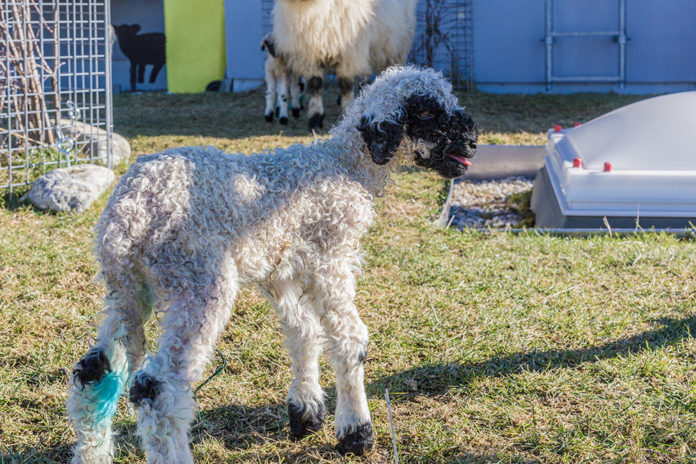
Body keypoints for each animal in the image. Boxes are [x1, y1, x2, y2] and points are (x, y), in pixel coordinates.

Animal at [66, 66, 478, 464]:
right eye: (426, 112)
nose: (473, 142)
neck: (344, 166)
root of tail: (127, 216)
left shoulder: (282, 272)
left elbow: (303, 334)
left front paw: (306, 411)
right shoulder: (331, 260)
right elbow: (348, 341)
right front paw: (356, 433)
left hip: (129, 291)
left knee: (93, 373)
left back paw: (92, 453)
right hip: (199, 281)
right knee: (155, 387)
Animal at [270, 0, 414, 131]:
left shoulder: (349, 56)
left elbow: (346, 86)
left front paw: (346, 113)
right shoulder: (310, 56)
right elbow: (315, 86)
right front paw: (315, 120)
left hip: (396, 48)